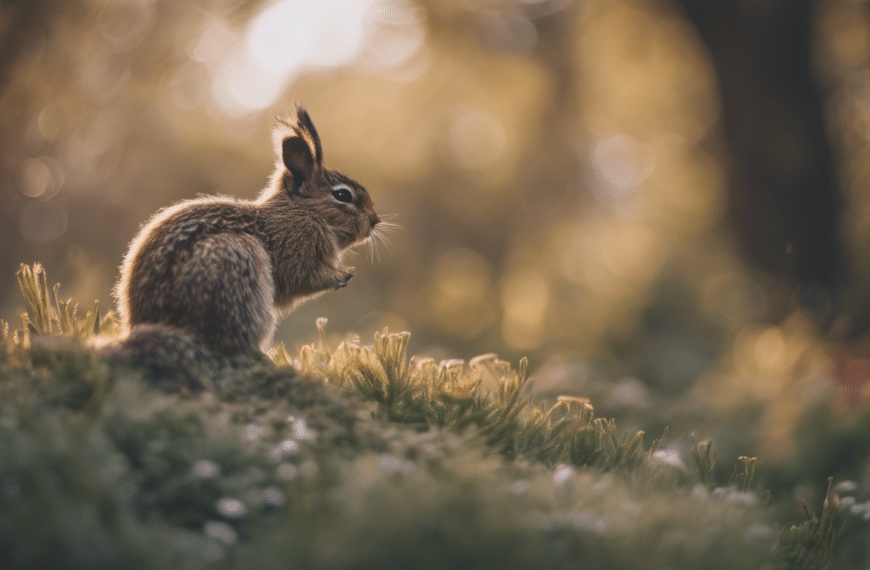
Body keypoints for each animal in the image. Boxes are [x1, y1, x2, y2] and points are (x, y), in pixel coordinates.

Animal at [99, 103, 382, 386]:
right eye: (342, 195)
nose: (374, 221)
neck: (304, 211)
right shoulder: (299, 254)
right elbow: (308, 278)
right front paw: (344, 275)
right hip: (236, 266)